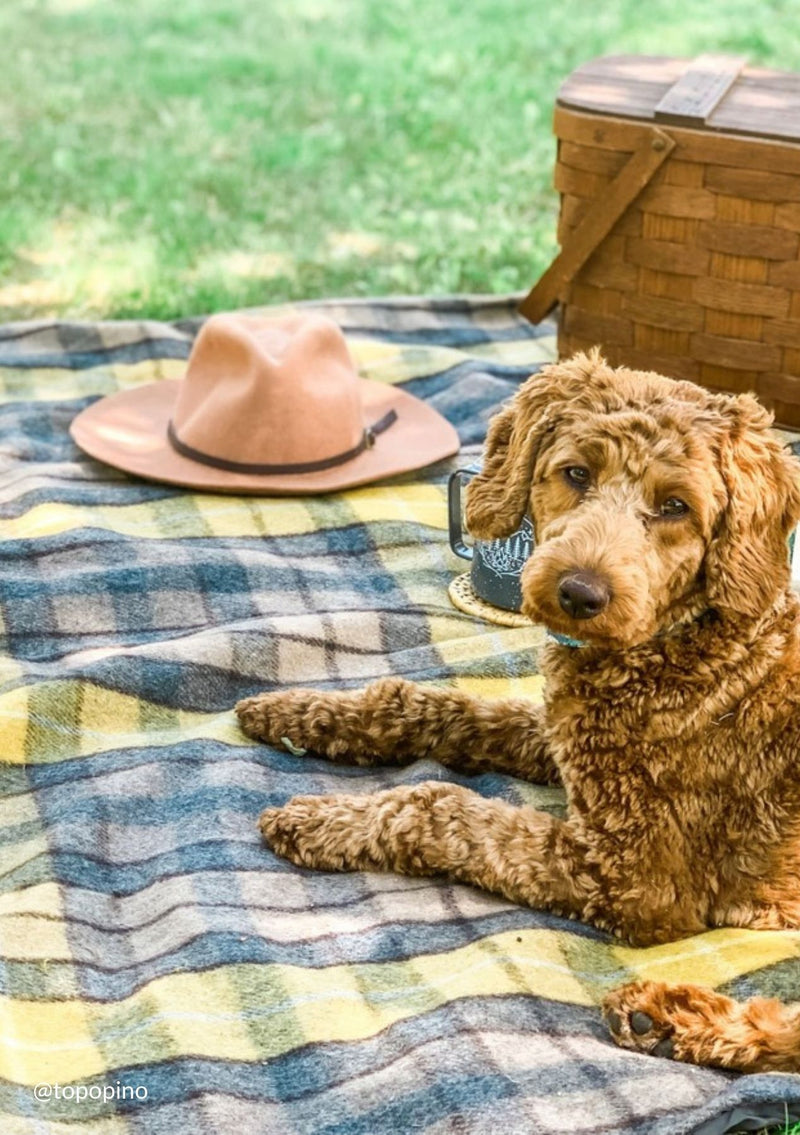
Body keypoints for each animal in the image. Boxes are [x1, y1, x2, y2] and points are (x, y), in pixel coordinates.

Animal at [237, 351, 800, 1071]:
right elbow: (435, 706)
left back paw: (679, 1018)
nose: (580, 594)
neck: (685, 644)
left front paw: (320, 819)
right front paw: (302, 711)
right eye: (576, 473)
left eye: (676, 506)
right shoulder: (562, 739)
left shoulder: (634, 875)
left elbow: (438, 805)